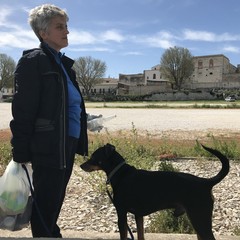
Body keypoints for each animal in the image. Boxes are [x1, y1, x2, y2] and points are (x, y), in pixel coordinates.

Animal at [80, 143, 229, 240]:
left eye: (93, 156)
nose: (81, 165)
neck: (121, 173)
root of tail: (206, 182)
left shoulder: (121, 213)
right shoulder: (138, 215)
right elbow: (140, 235)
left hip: (200, 219)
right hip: (198, 221)